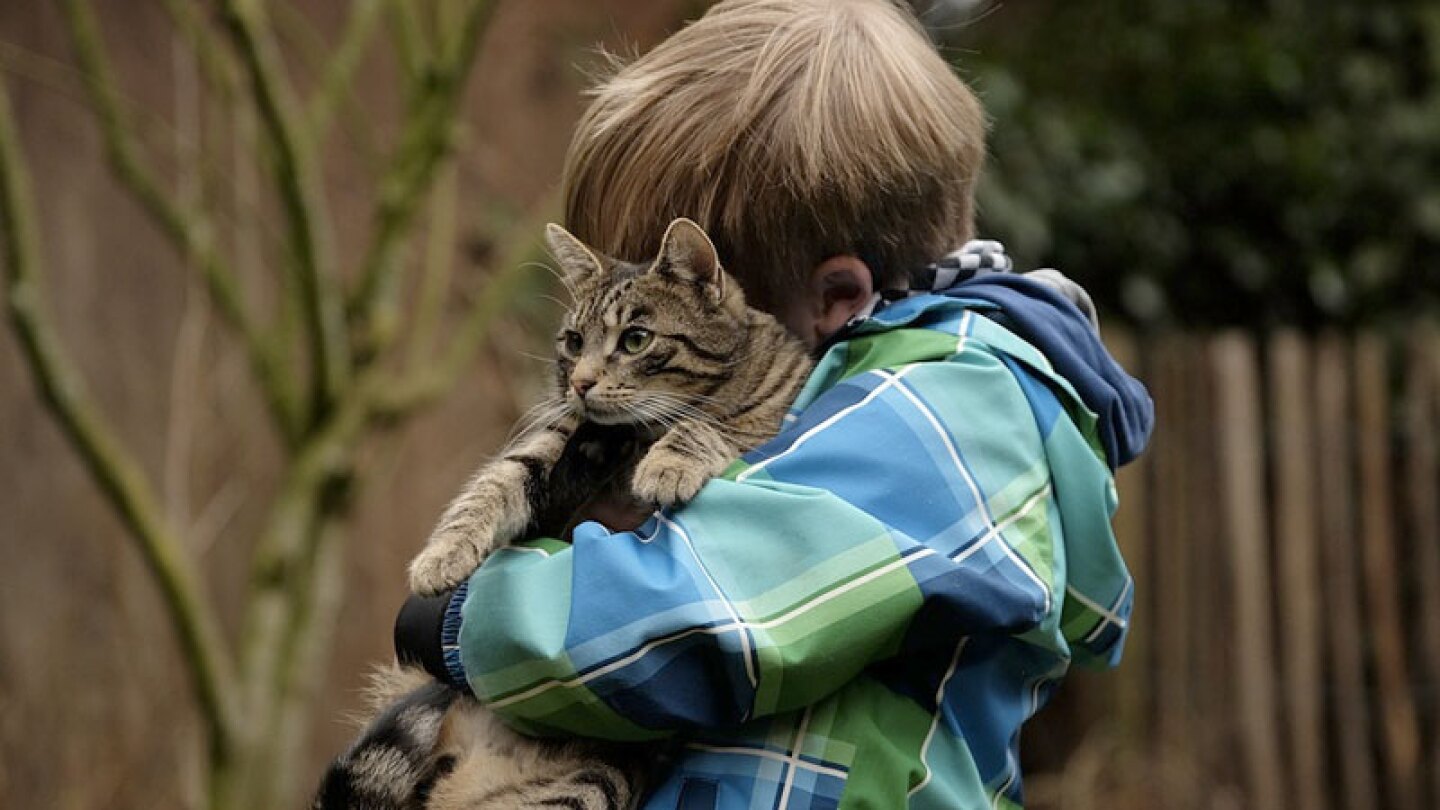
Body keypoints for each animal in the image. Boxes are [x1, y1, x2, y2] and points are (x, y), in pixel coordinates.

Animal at [313, 216, 812, 807]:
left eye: (636, 339)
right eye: (574, 342)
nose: (580, 382)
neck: (634, 437)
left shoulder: (762, 421)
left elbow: (711, 425)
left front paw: (668, 464)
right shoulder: (555, 441)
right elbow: (492, 485)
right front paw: (441, 556)